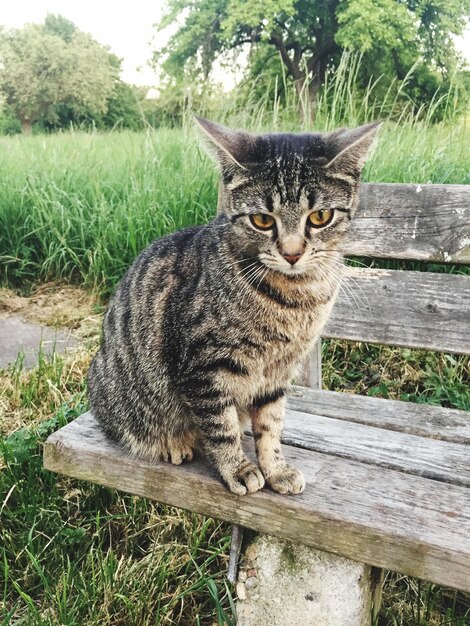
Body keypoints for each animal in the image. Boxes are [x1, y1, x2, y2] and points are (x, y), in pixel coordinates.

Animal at [88, 117, 380, 494]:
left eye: (320, 217)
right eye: (262, 220)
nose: (292, 253)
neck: (296, 298)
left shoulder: (278, 372)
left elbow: (271, 424)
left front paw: (275, 467)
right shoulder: (204, 367)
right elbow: (220, 427)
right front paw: (238, 468)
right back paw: (173, 443)